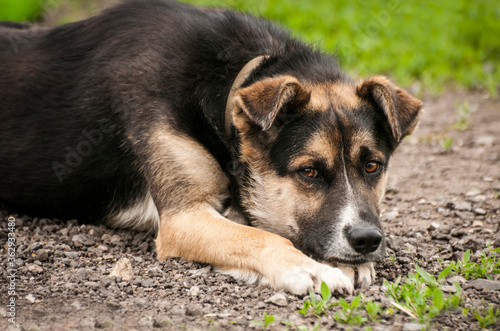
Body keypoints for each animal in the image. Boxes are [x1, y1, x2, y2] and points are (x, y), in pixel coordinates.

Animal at [0, 0, 422, 296]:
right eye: (309, 172)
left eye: (372, 166)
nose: (367, 240)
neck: (228, 84)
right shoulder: (184, 217)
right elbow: (258, 236)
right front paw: (310, 267)